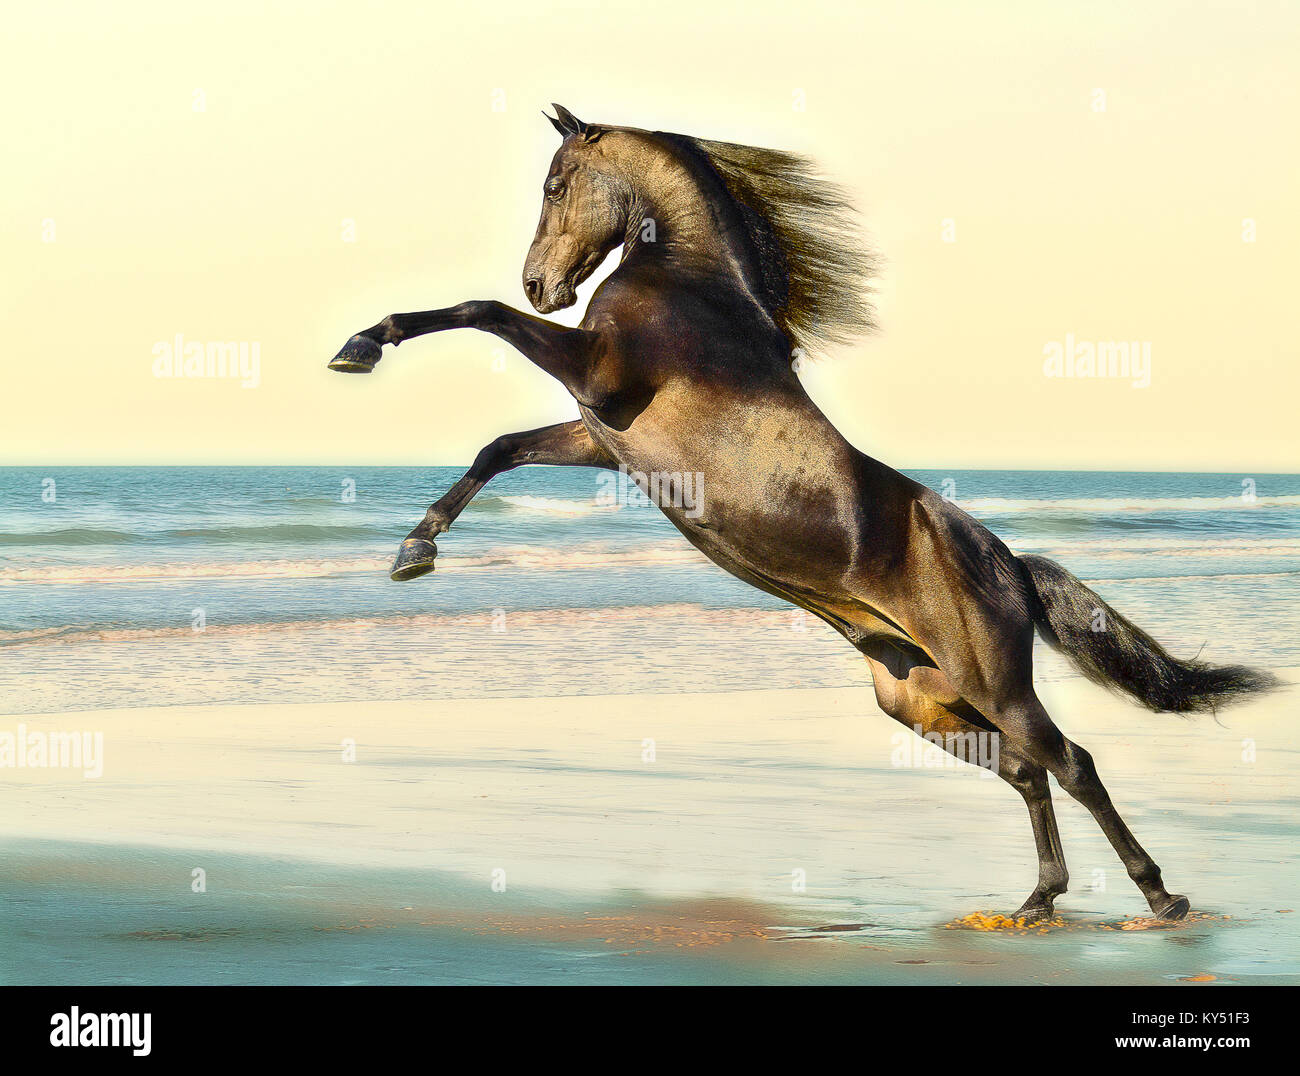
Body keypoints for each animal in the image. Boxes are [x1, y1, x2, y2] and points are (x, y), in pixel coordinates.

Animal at [327, 104, 1277, 923]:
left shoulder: (599, 379)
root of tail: (1008, 562)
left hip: (990, 684)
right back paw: (1038, 902)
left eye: (558, 184)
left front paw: (362, 345)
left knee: (1071, 763)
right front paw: (413, 549)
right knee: (1026, 772)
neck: (694, 285)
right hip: (922, 701)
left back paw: (1160, 899)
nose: (541, 283)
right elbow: (499, 448)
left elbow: (478, 312)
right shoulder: (603, 435)